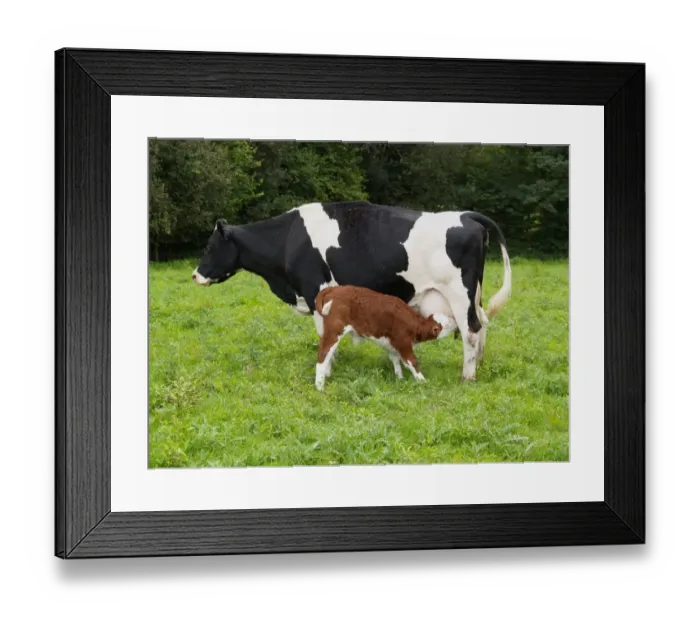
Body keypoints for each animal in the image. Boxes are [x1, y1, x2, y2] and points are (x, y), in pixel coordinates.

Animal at [313, 284, 457, 390]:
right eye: (447, 323)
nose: (455, 320)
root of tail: (333, 288)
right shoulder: (403, 342)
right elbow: (412, 361)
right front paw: (422, 381)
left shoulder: (391, 343)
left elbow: (395, 360)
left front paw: (400, 378)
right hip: (335, 331)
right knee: (323, 353)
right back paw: (319, 386)